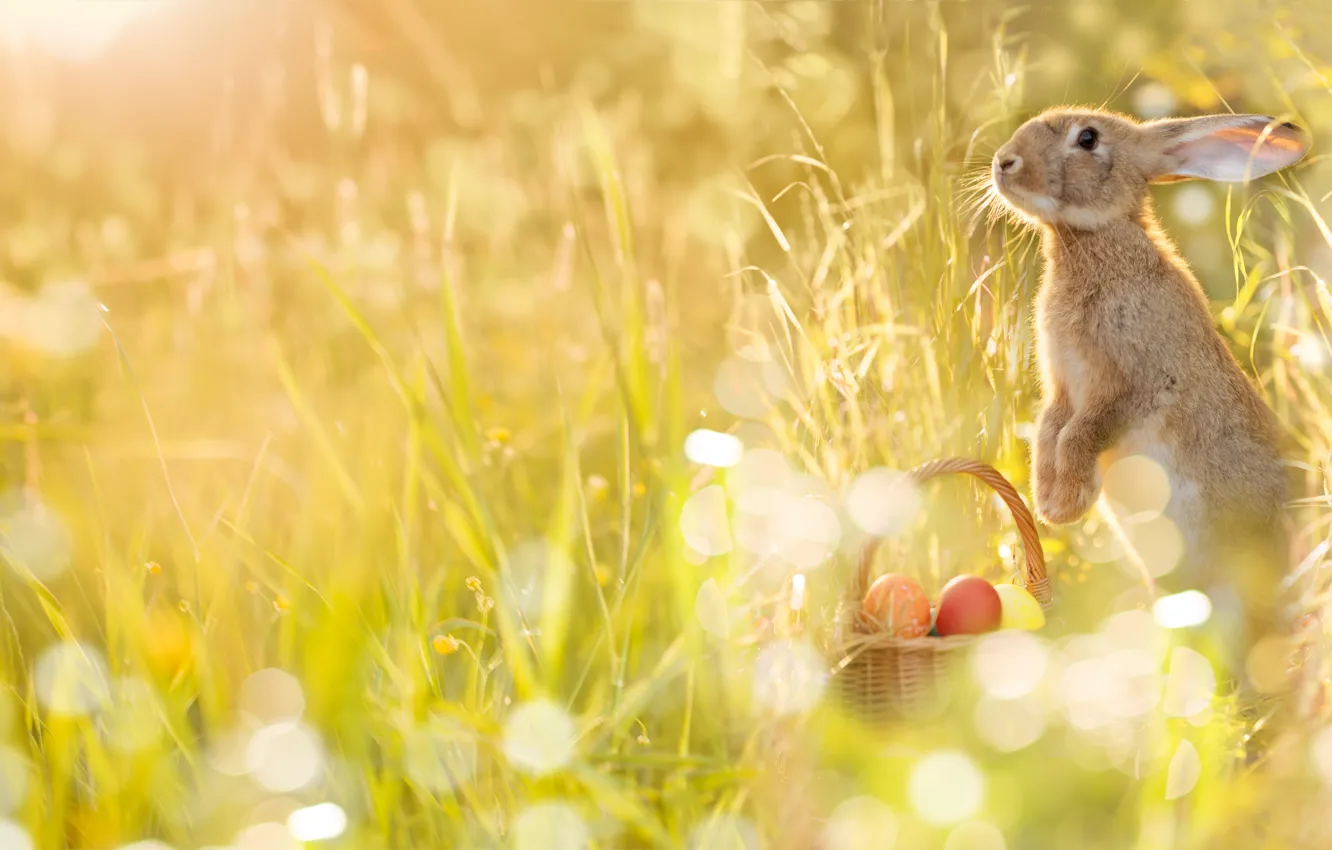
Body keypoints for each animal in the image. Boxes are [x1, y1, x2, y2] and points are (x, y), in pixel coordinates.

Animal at [988, 107, 1309, 663]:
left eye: (1087, 139)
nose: (1003, 161)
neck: (1090, 239)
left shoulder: (1137, 386)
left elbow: (1080, 433)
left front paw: (1066, 505)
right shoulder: (1062, 389)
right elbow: (1051, 431)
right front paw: (1047, 500)